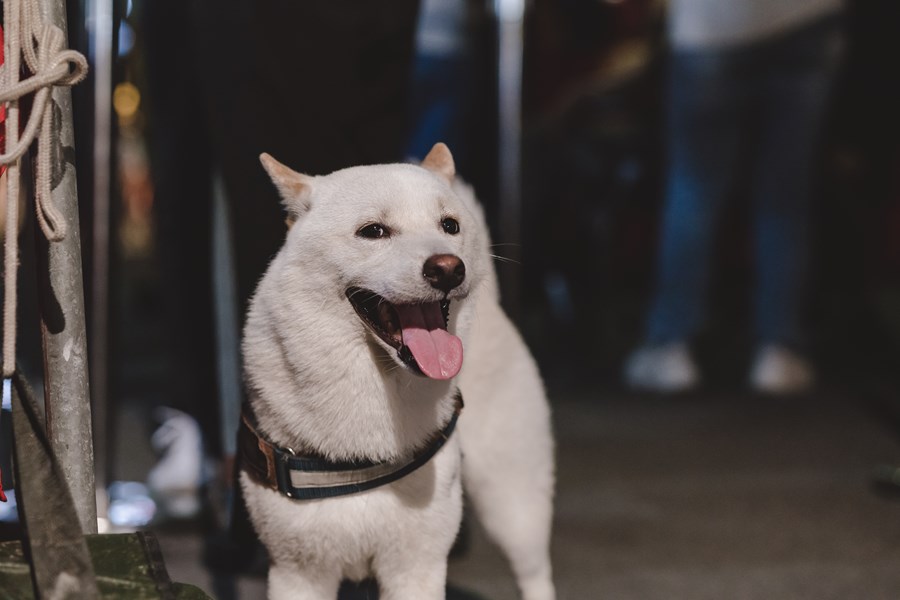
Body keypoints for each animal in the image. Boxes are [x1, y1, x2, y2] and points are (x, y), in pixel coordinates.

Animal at [243, 144, 560, 600]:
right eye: (373, 231)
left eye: (449, 225)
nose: (449, 267)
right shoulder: (298, 571)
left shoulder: (416, 565)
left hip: (513, 504)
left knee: (536, 574)